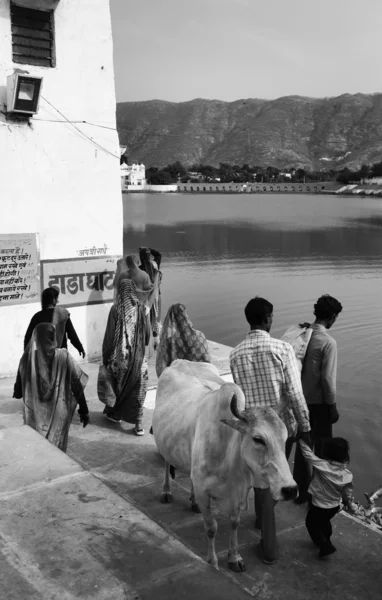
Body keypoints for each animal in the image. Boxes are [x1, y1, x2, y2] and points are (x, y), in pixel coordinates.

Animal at [152, 358, 298, 576]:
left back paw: (193, 502)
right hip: (165, 446)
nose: (289, 489)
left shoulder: (238, 492)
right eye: (258, 439)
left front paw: (234, 558)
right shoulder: (204, 491)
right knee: (166, 463)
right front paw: (212, 561)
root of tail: (180, 360)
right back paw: (166, 491)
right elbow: (211, 527)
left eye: (285, 437)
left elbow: (234, 523)